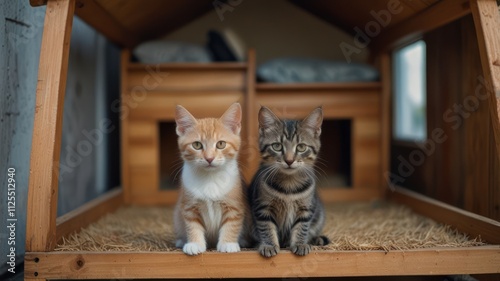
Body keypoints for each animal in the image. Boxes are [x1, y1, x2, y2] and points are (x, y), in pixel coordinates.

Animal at [174, 102, 248, 254]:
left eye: (221, 144)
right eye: (197, 145)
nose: (209, 158)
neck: (210, 178)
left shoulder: (234, 205)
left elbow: (232, 223)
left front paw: (228, 243)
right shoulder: (189, 207)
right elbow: (192, 225)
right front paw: (194, 243)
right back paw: (181, 240)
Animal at [249, 105, 328, 256]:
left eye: (301, 147)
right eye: (277, 146)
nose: (289, 160)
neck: (289, 184)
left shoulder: (306, 209)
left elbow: (302, 227)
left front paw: (300, 244)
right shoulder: (263, 208)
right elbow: (266, 227)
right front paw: (269, 245)